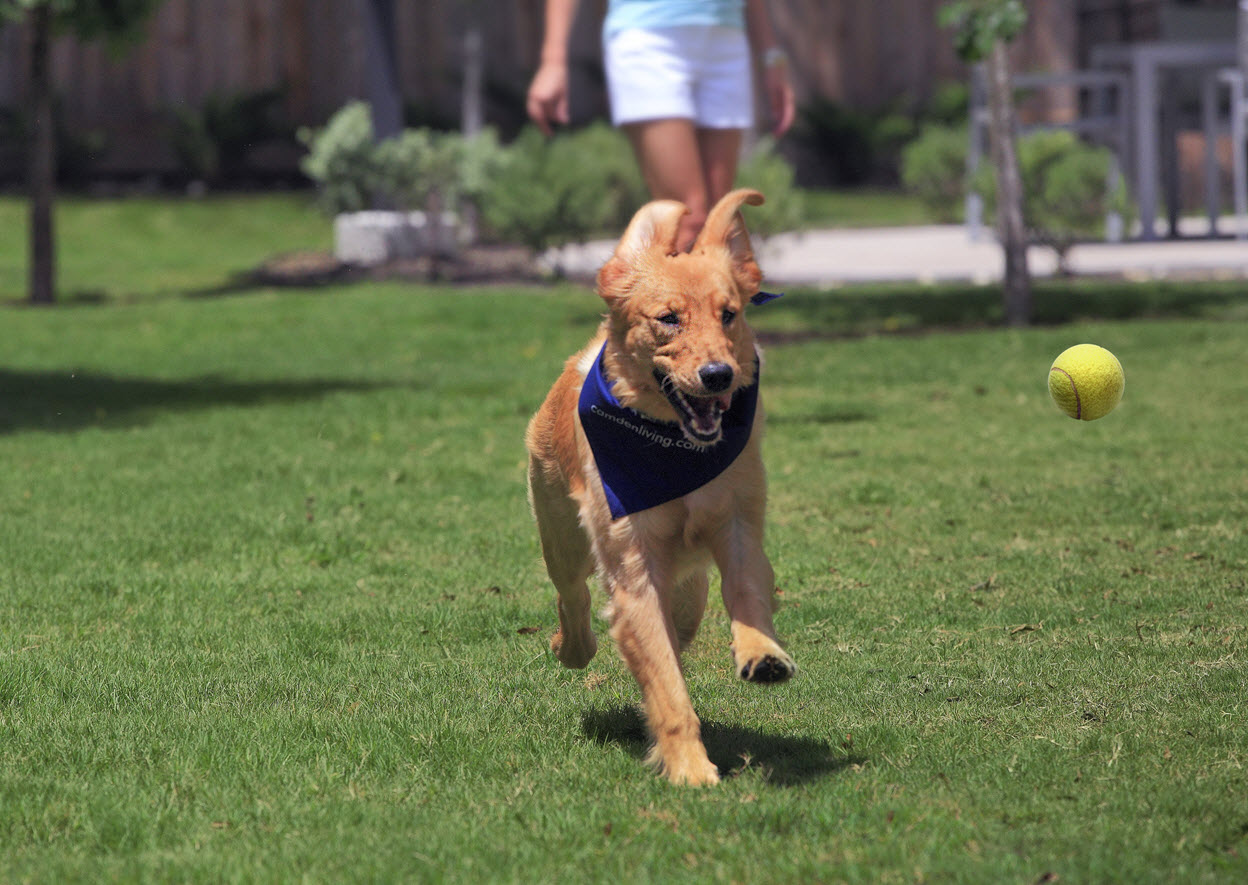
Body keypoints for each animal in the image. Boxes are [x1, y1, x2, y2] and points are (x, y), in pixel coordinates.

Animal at [524, 188, 793, 788]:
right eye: (669, 319)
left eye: (729, 314)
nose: (718, 375)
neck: (674, 448)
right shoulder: (634, 567)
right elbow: (666, 686)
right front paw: (690, 768)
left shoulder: (739, 525)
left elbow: (747, 592)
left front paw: (762, 653)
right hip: (562, 538)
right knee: (574, 598)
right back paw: (571, 646)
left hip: (687, 586)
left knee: (683, 618)